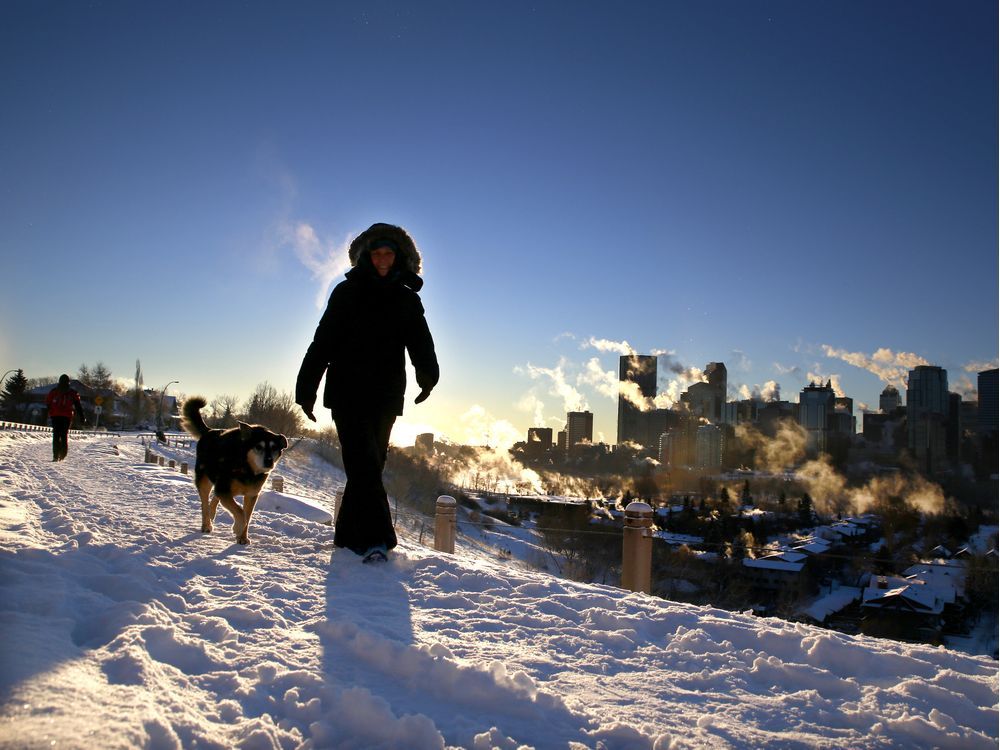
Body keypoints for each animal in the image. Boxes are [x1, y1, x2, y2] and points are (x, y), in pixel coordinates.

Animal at [180, 400, 288, 548]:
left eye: (274, 448)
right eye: (258, 447)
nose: (268, 461)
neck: (247, 467)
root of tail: (209, 431)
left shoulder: (251, 495)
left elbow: (247, 516)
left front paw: (243, 537)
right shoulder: (224, 489)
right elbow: (240, 513)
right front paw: (237, 528)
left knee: (214, 499)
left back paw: (212, 514)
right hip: (204, 481)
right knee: (205, 504)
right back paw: (206, 524)